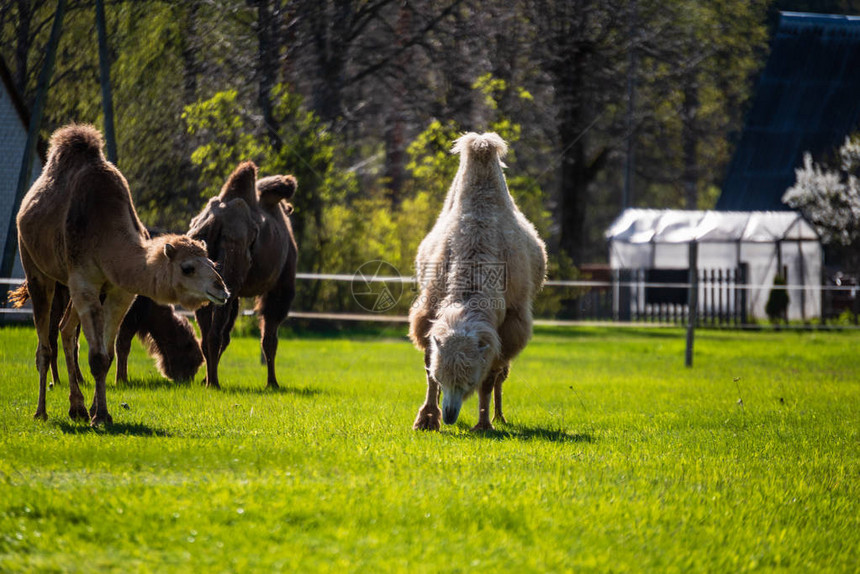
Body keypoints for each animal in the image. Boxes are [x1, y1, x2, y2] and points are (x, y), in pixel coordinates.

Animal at [14, 125, 228, 424]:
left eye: (212, 262)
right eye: (188, 268)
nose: (221, 289)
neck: (106, 235)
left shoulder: (120, 293)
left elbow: (107, 356)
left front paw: (99, 412)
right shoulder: (85, 282)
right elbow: (97, 357)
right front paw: (100, 415)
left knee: (66, 330)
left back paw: (77, 408)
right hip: (36, 269)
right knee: (45, 345)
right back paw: (41, 411)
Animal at [189, 160, 298, 390]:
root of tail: (212, 224)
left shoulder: (236, 293)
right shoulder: (279, 287)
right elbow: (269, 339)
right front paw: (273, 383)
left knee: (208, 332)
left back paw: (209, 380)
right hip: (231, 265)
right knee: (216, 333)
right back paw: (214, 382)